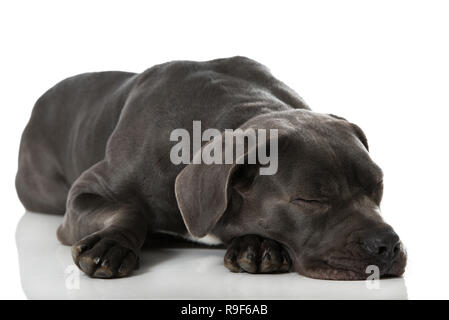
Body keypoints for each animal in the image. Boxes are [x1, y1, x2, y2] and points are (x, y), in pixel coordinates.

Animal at [14, 56, 406, 278]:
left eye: (378, 187)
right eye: (311, 200)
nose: (387, 245)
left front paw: (257, 245)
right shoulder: (84, 193)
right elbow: (128, 209)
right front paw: (110, 245)